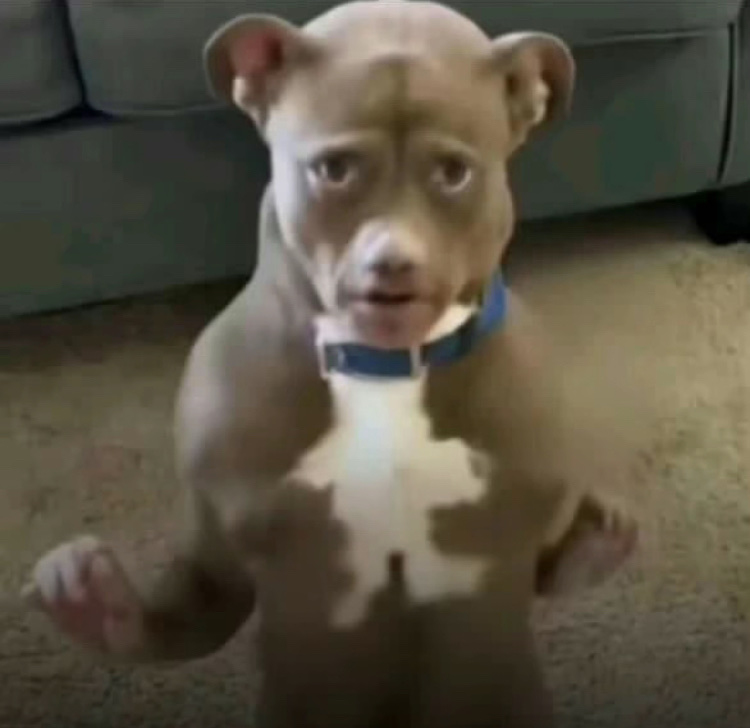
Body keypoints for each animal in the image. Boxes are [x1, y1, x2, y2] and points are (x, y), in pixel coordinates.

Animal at [22, 3, 636, 726]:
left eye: (453, 173)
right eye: (335, 169)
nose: (392, 262)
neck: (383, 369)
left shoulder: (524, 540)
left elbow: (556, 571)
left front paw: (601, 541)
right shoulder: (219, 552)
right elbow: (192, 608)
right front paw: (89, 595)